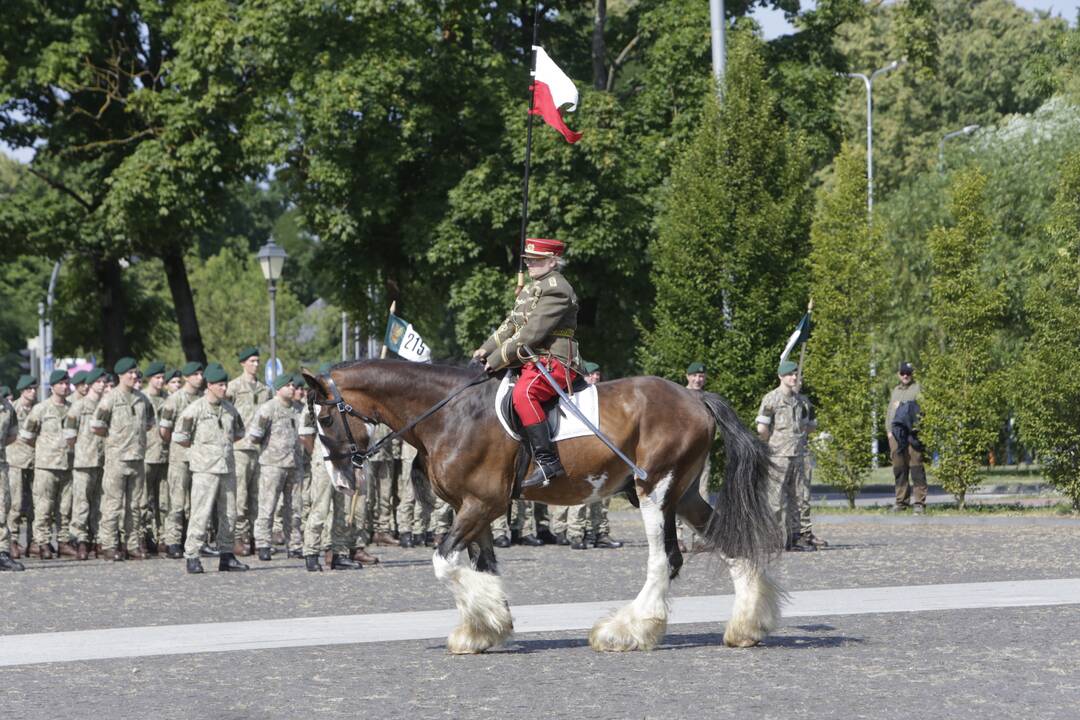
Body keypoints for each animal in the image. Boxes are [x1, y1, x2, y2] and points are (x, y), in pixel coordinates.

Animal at [304, 358, 786, 651]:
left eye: (325, 418)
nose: (340, 479)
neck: (448, 413)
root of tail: (694, 396)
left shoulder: (480, 505)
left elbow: (445, 564)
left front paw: (486, 621)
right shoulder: (476, 510)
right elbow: (481, 567)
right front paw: (487, 627)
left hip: (655, 490)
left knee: (663, 560)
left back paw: (628, 630)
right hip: (682, 494)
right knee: (727, 543)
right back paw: (748, 625)